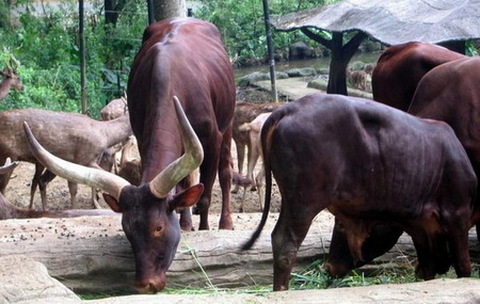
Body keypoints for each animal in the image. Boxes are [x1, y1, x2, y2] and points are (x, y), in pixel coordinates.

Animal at [0, 108, 131, 210]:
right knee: (4, 188)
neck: (106, 135)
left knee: (38, 181)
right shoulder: (84, 158)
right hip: (9, 155)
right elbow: (76, 188)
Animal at [23, 17, 236, 294]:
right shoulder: (142, 136)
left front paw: (208, 230)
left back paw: (225, 223)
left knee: (225, 173)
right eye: (127, 230)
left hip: (228, 123)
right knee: (185, 182)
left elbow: (206, 195)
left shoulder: (212, 137)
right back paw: (187, 222)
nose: (146, 284)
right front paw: (185, 224)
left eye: (158, 227)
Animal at [244, 93, 476, 292]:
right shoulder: (457, 214)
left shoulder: (422, 228)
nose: (330, 267)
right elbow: (463, 267)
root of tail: (288, 109)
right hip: (303, 202)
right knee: (285, 243)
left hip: (292, 200)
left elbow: (428, 269)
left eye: (341, 226)